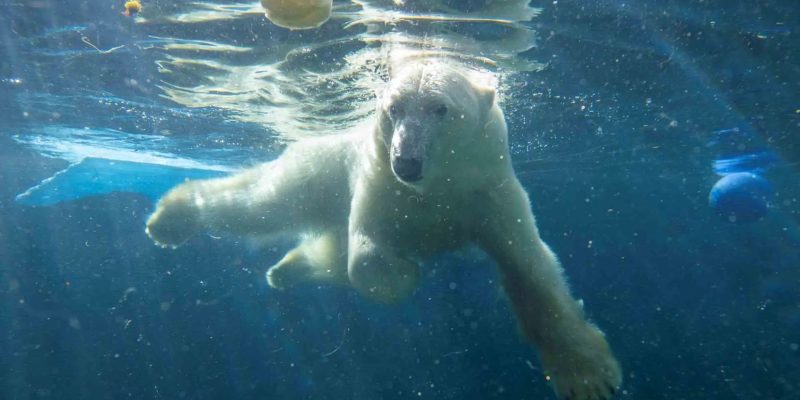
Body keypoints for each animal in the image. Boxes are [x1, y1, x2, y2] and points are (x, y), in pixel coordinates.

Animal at [145, 60, 622, 400]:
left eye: (440, 108)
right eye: (393, 109)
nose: (406, 162)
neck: (437, 186)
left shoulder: (489, 190)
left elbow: (531, 268)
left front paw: (587, 375)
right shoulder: (378, 182)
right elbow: (366, 255)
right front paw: (406, 270)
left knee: (318, 249)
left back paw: (283, 269)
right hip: (319, 170)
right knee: (264, 202)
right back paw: (170, 217)